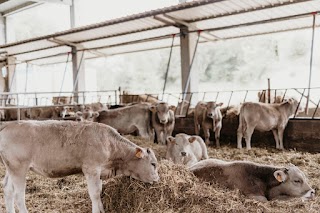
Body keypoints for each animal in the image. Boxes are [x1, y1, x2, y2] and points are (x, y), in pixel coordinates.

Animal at [0, 120, 159, 213]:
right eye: (153, 164)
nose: (157, 179)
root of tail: (9, 124)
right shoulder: (91, 169)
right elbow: (94, 193)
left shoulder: (99, 172)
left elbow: (99, 192)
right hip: (19, 168)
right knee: (18, 195)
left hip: (11, 168)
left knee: (8, 190)